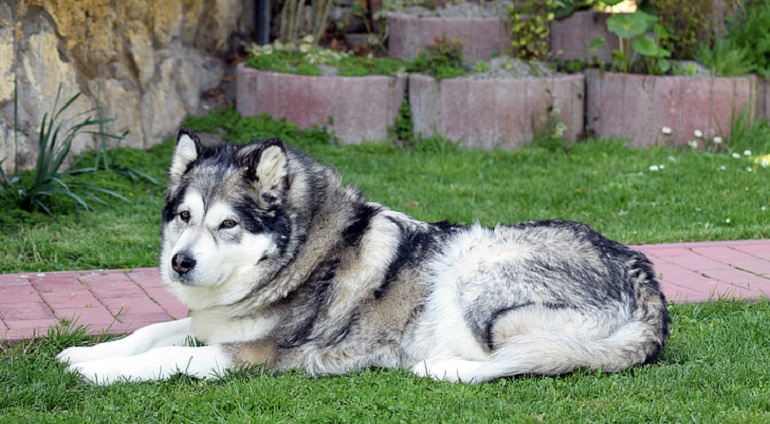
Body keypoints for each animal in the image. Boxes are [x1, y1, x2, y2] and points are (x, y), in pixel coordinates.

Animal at [57, 128, 668, 384]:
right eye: (184, 217)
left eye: (227, 224)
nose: (180, 263)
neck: (297, 259)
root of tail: (648, 285)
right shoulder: (212, 323)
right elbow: (152, 331)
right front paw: (86, 353)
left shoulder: (254, 355)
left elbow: (167, 357)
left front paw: (102, 372)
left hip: (475, 270)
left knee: (521, 360)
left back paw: (440, 368)